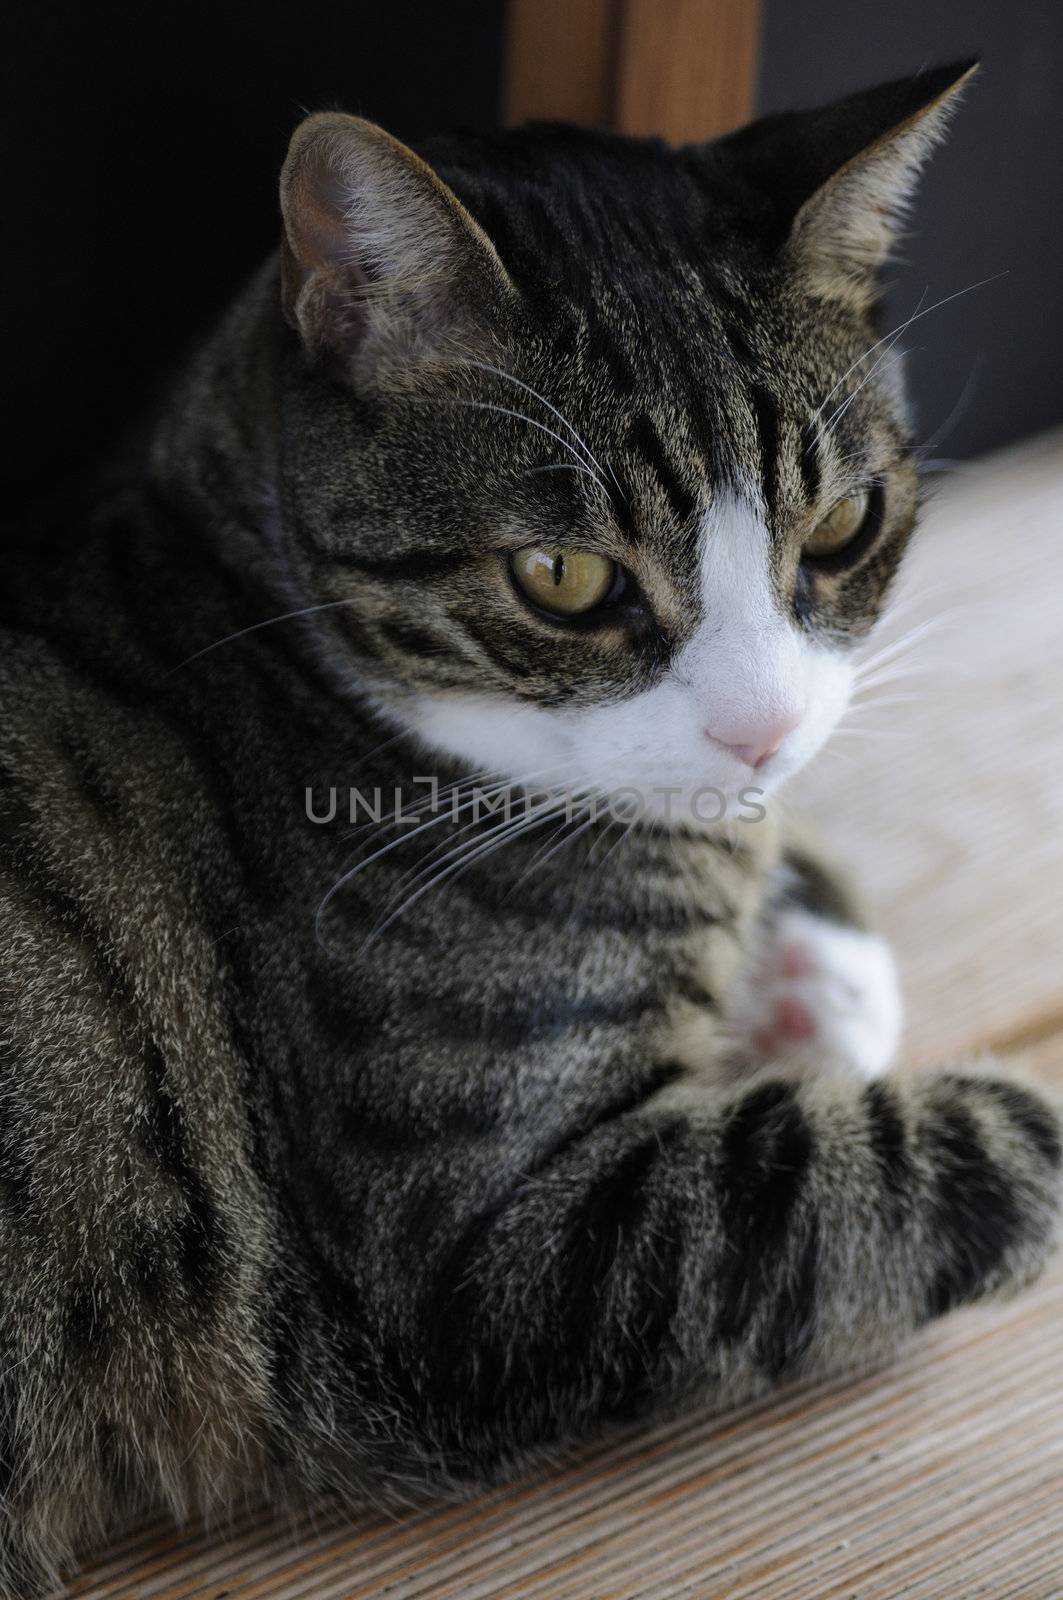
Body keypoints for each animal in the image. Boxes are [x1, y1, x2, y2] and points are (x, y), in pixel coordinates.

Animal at [0, 56, 1056, 1593]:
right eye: (562, 577)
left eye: (842, 525)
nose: (761, 731)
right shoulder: (467, 1252)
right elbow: (885, 1170)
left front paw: (808, 965)